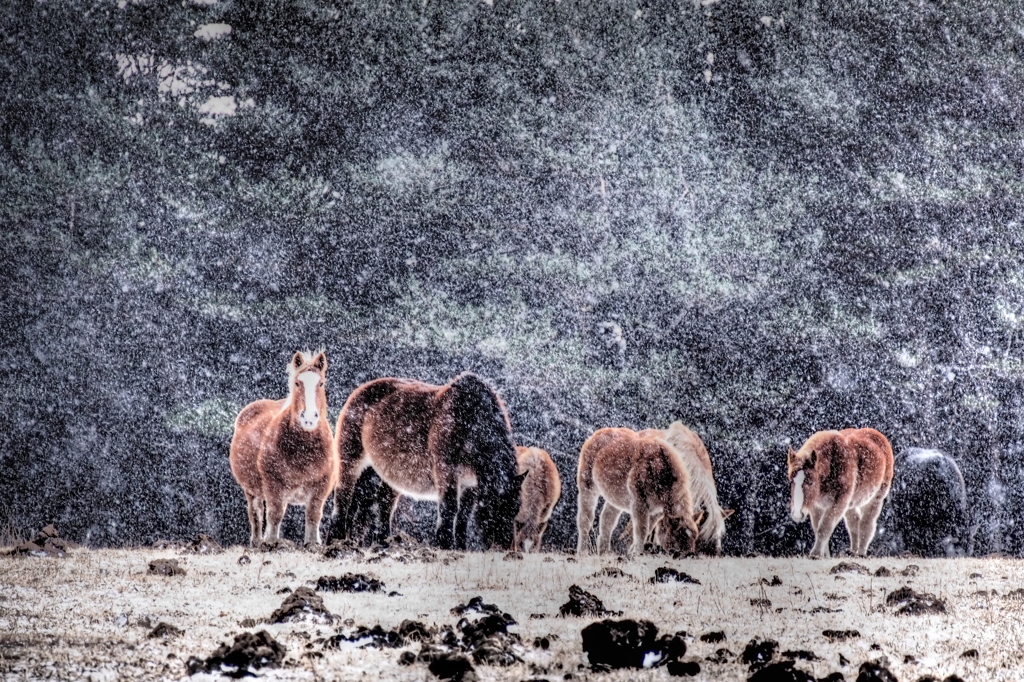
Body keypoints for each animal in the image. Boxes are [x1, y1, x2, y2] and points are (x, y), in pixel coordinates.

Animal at [229, 350, 337, 548]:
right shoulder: (274, 485)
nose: (308, 418)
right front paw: (271, 543)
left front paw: (312, 545)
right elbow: (274, 515)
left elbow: (313, 516)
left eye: (321, 383)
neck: (303, 450)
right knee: (256, 515)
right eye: (297, 383)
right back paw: (257, 543)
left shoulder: (321, 486)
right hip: (252, 490)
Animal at [333, 368, 528, 548]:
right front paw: (444, 545)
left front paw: (460, 548)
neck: (470, 421)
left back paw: (380, 543)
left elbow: (463, 517)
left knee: (381, 503)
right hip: (351, 461)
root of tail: (359, 391)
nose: (504, 546)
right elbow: (449, 508)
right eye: (492, 507)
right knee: (343, 499)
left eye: (516, 508)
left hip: (385, 472)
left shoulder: (470, 484)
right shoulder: (446, 470)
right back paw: (335, 542)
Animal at [577, 428, 704, 557]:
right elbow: (641, 530)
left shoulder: (656, 512)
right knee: (586, 519)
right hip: (587, 487)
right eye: (678, 536)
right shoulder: (639, 503)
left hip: (614, 498)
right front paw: (638, 553)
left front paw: (633, 553)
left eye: (695, 536)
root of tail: (597, 434)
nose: (689, 554)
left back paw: (604, 553)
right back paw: (582, 552)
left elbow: (645, 530)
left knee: (607, 520)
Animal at [786, 425, 892, 557]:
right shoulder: (817, 505)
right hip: (851, 504)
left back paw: (861, 553)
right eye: (791, 481)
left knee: (866, 524)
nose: (797, 514)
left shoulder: (838, 503)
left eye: (810, 482)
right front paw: (824, 555)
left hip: (875, 499)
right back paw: (853, 551)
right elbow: (818, 529)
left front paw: (815, 554)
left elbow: (824, 528)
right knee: (854, 523)